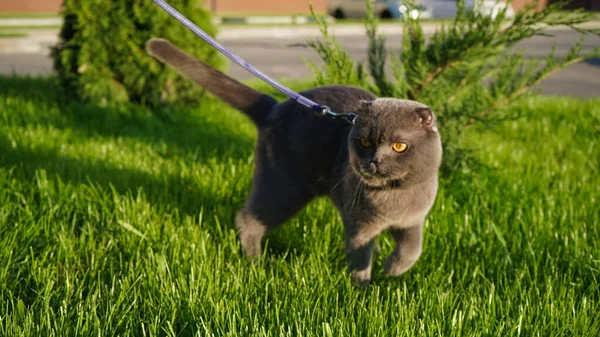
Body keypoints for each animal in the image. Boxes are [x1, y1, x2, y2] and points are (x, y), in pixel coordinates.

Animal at [148, 37, 442, 284]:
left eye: (399, 146)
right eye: (365, 142)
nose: (375, 161)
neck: (395, 195)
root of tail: (275, 107)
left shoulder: (412, 219)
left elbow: (413, 248)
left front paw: (393, 268)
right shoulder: (361, 226)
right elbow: (360, 257)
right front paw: (363, 291)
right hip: (284, 186)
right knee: (248, 219)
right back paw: (256, 263)